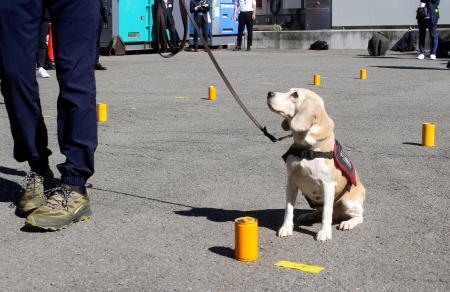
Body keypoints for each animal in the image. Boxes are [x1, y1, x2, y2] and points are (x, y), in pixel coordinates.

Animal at [268, 88, 366, 242]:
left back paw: (348, 223)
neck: (306, 148)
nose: (269, 93)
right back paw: (309, 215)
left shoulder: (328, 185)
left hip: (348, 202)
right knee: (321, 212)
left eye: (295, 94)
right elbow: (288, 209)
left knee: (358, 216)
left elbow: (327, 213)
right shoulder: (291, 182)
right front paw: (286, 228)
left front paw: (324, 232)